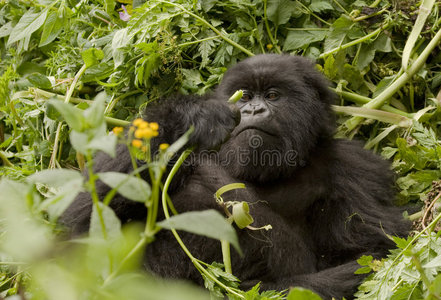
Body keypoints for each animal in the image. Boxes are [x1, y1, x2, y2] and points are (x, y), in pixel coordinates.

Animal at [59, 54, 410, 300]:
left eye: (272, 95)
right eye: (245, 97)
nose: (253, 111)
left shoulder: (356, 169)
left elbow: (374, 254)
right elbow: (84, 218)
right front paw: (191, 116)